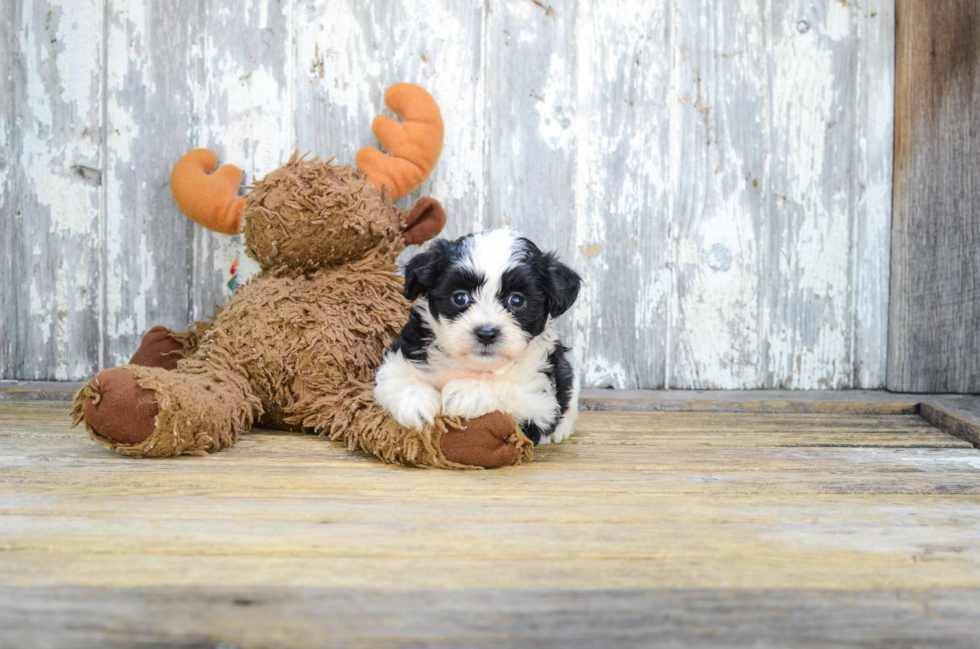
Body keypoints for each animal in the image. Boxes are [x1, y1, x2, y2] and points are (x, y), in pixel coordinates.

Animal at [372, 228, 580, 446]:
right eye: (460, 297)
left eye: (516, 300)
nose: (486, 334)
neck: (472, 365)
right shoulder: (401, 359)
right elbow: (397, 379)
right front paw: (417, 401)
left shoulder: (539, 400)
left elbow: (508, 388)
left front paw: (466, 391)